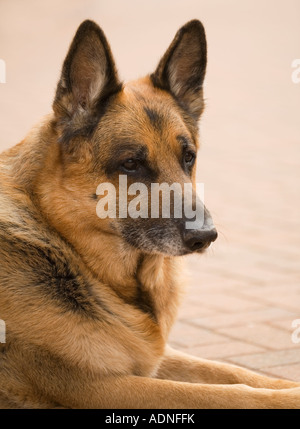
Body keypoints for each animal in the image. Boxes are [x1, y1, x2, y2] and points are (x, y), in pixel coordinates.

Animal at [0, 19, 300, 408]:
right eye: (131, 164)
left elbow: (233, 372)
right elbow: (221, 394)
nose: (206, 236)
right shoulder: (94, 386)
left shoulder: (150, 359)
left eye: (188, 157)